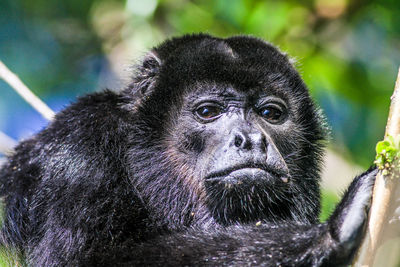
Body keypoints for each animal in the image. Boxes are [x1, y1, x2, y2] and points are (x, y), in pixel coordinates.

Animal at [0, 34, 376, 266]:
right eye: (208, 111)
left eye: (271, 113)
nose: (250, 139)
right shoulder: (80, 149)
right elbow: (86, 260)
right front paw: (328, 232)